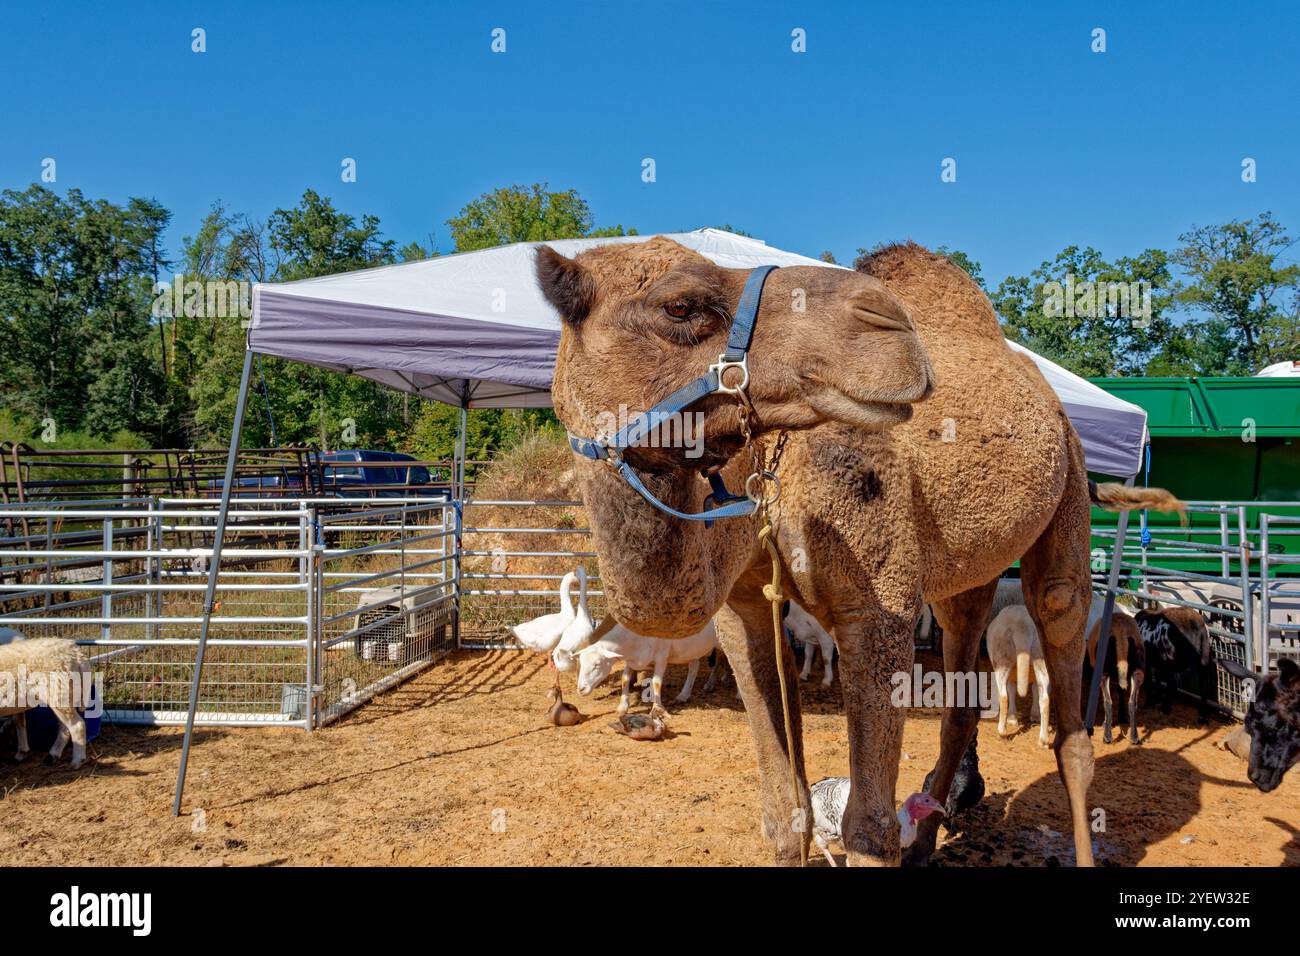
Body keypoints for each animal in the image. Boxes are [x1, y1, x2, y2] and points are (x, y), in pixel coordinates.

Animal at [0, 634, 92, 770]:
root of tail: (77, 654)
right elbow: (20, 723)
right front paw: (22, 752)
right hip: (63, 696)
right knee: (65, 728)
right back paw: (52, 756)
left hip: (59, 693)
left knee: (77, 725)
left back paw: (77, 761)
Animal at [579, 616, 722, 712]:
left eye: (597, 664)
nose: (580, 689)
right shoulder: (632, 659)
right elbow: (625, 679)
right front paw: (623, 706)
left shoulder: (662, 656)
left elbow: (656, 682)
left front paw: (658, 708)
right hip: (693, 649)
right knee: (694, 667)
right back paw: (683, 695)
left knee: (721, 663)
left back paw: (711, 684)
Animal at [987, 606, 1050, 749]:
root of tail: (1023, 626)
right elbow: (1034, 691)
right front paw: (1034, 716)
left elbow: (1011, 691)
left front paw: (1011, 718)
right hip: (1041, 658)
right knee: (1045, 699)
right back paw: (1043, 741)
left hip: (1002, 658)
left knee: (1003, 696)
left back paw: (1002, 732)